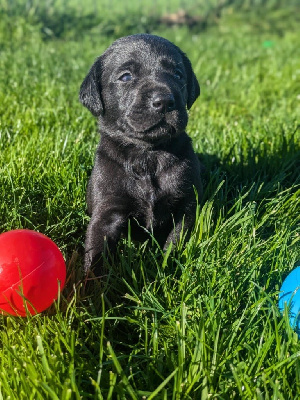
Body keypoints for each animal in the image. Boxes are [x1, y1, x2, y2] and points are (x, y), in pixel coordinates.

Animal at [79, 32, 202, 274]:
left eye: (178, 74)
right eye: (126, 77)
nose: (164, 101)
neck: (148, 155)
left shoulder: (185, 205)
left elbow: (175, 241)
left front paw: (167, 270)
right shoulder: (107, 211)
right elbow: (96, 251)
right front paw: (88, 283)